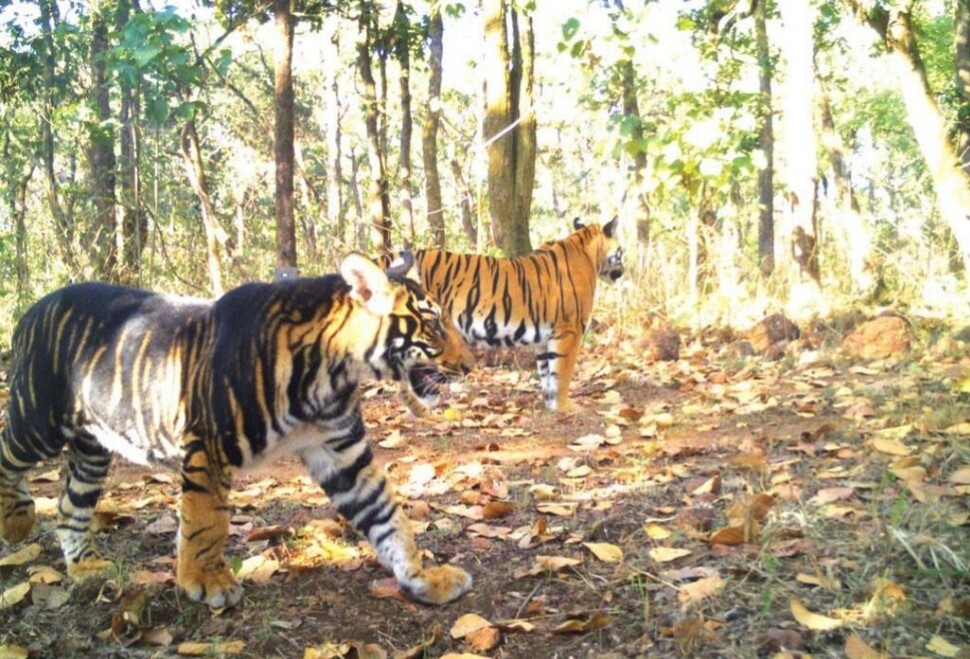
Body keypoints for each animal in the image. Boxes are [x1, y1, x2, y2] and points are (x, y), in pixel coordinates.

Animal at [0, 253, 474, 608]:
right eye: (433, 325)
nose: (471, 365)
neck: (334, 373)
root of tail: (31, 311)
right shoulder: (209, 445)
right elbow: (207, 520)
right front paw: (206, 581)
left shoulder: (341, 450)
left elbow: (388, 517)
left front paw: (424, 578)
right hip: (36, 420)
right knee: (9, 457)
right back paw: (16, 521)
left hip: (92, 447)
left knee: (69, 508)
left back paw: (85, 568)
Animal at [378, 217, 620, 412]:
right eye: (621, 251)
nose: (623, 270)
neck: (588, 252)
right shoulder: (569, 331)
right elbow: (562, 373)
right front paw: (564, 408)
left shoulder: (545, 337)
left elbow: (547, 372)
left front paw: (550, 404)